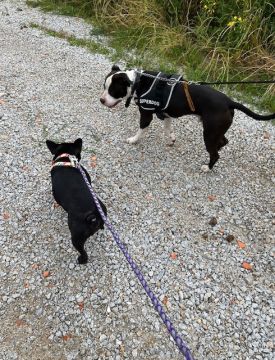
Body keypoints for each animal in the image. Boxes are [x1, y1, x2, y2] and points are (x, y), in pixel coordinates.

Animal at [101, 65, 275, 171]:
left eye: (113, 90)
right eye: (104, 87)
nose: (101, 100)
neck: (138, 82)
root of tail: (229, 101)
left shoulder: (146, 114)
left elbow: (141, 130)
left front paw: (133, 140)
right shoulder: (165, 114)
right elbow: (167, 129)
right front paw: (171, 139)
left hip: (209, 133)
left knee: (215, 154)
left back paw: (208, 167)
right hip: (216, 131)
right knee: (223, 142)